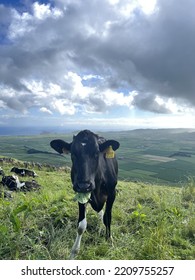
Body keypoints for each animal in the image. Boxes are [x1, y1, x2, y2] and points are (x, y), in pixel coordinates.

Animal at [50, 129, 120, 258]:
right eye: (73, 154)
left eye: (97, 153)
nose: (84, 185)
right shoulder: (80, 194)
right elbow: (81, 225)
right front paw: (74, 252)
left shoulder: (112, 193)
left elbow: (107, 218)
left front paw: (109, 241)